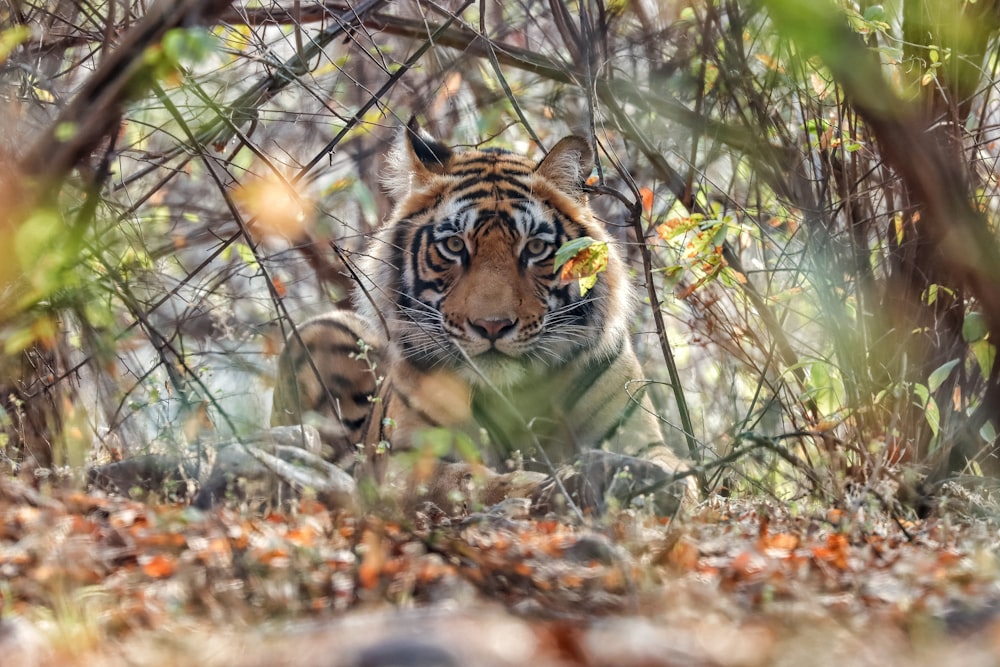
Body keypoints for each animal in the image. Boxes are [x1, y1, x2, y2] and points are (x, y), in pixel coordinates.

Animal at [272, 121, 696, 516]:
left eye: (535, 248)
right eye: (454, 245)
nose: (492, 326)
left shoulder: (640, 438)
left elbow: (677, 472)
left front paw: (647, 482)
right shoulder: (404, 462)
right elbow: (468, 480)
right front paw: (548, 486)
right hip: (322, 329)